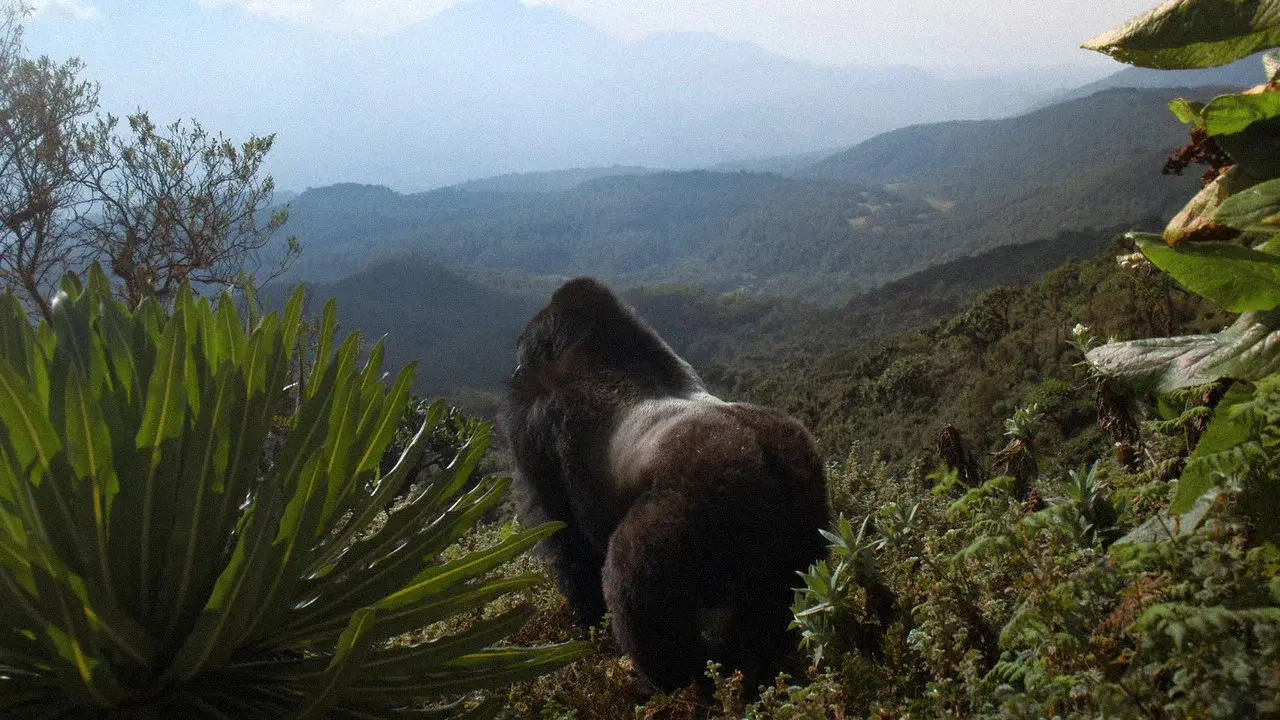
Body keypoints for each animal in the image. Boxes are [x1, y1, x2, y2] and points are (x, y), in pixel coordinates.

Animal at [499, 277, 829, 692]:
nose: (514, 370)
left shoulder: (533, 418)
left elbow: (567, 540)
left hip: (696, 502)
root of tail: (767, 454)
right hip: (806, 497)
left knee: (631, 583)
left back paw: (669, 685)